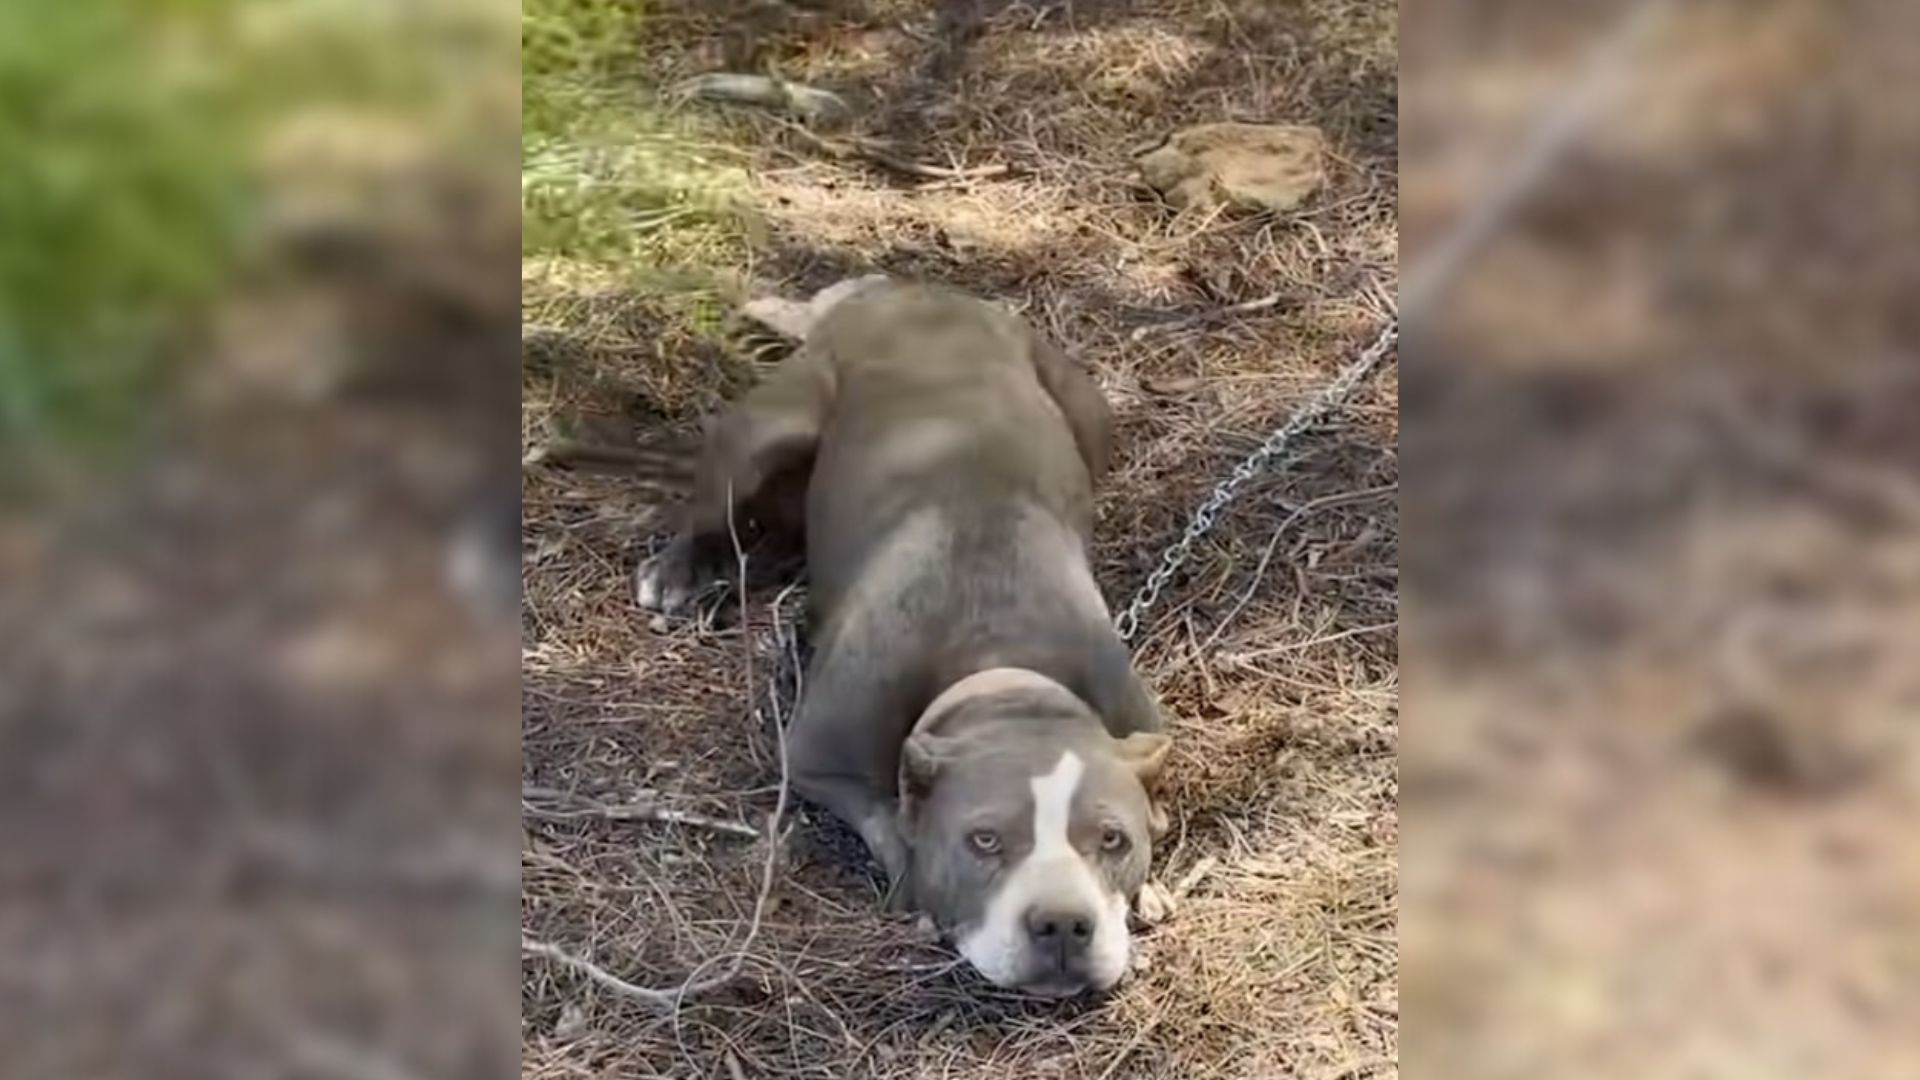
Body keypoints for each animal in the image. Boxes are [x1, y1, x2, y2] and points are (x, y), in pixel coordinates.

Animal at [637, 278, 1167, 991]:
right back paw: (675, 573)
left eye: (1114, 840)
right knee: (711, 506)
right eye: (983, 840)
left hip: (1089, 413)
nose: (1061, 923)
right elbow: (887, 816)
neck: (1000, 661)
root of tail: (909, 289)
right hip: (770, 429)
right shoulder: (814, 755)